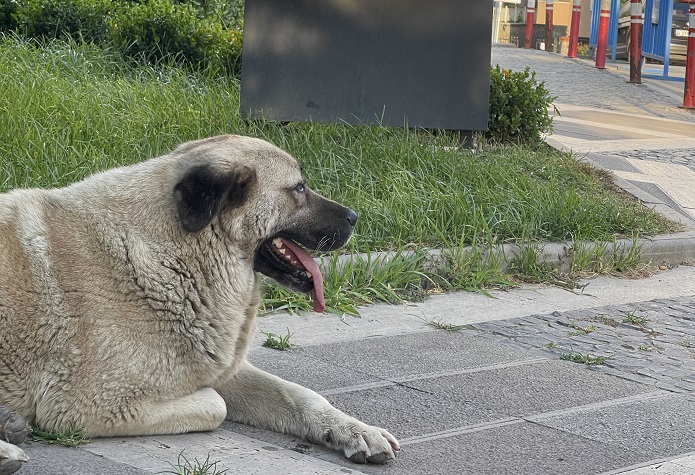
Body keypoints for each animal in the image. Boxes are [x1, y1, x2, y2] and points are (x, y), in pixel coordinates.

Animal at [0, 134, 400, 468]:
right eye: (298, 189)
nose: (354, 217)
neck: (176, 251)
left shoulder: (224, 369)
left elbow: (301, 395)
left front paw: (354, 430)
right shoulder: (87, 406)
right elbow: (215, 405)